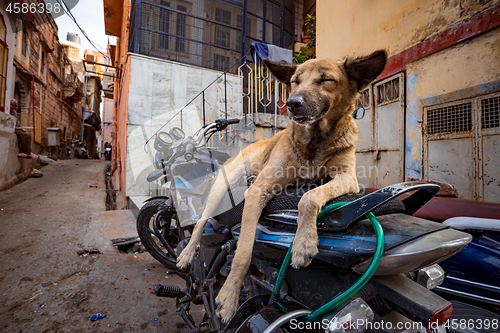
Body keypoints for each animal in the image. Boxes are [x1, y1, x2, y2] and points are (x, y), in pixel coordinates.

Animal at [178, 50, 388, 322]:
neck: (315, 141)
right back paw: (186, 254)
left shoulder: (347, 178)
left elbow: (308, 197)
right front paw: (229, 296)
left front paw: (303, 243)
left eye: (326, 80)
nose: (292, 103)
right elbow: (243, 252)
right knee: (201, 222)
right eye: (295, 81)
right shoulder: (258, 191)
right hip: (221, 188)